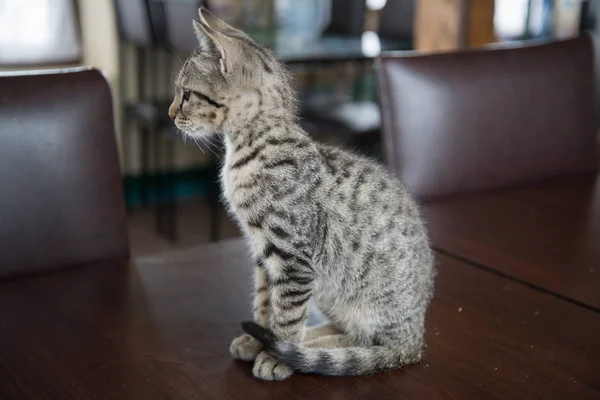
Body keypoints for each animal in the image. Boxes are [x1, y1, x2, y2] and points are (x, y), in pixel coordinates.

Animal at [169, 7, 436, 382]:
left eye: (187, 94)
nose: (170, 114)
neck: (250, 148)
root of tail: (416, 337)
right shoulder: (263, 255)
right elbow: (265, 303)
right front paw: (259, 340)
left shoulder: (293, 258)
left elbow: (287, 316)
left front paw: (277, 355)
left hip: (365, 305)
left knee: (367, 344)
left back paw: (310, 347)